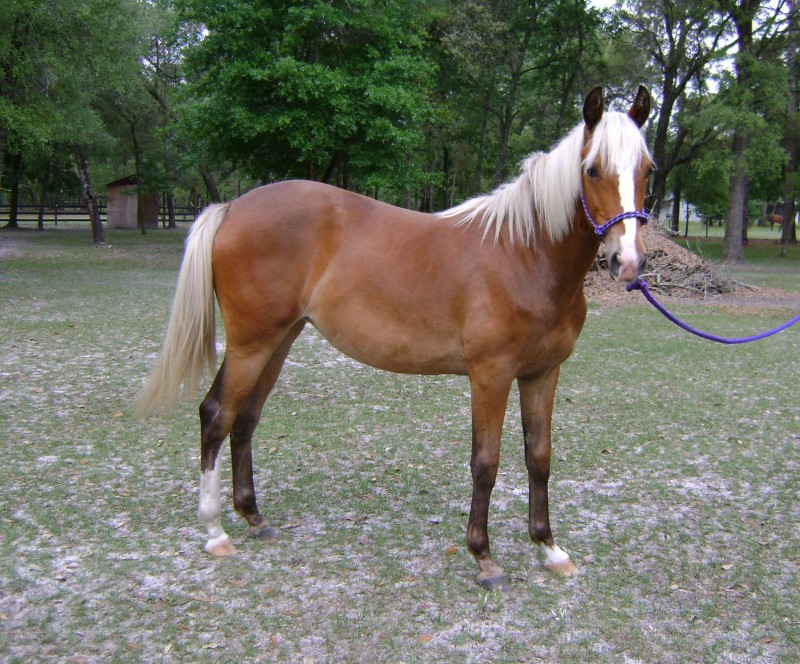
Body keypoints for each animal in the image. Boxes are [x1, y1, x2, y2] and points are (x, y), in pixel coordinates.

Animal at [136, 86, 654, 590]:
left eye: (647, 169)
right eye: (592, 169)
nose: (627, 261)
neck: (525, 253)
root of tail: (231, 208)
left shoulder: (542, 374)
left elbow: (539, 458)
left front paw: (550, 548)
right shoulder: (491, 376)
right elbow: (485, 463)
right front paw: (485, 559)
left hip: (278, 342)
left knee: (245, 419)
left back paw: (254, 517)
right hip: (251, 345)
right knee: (216, 415)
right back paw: (215, 531)